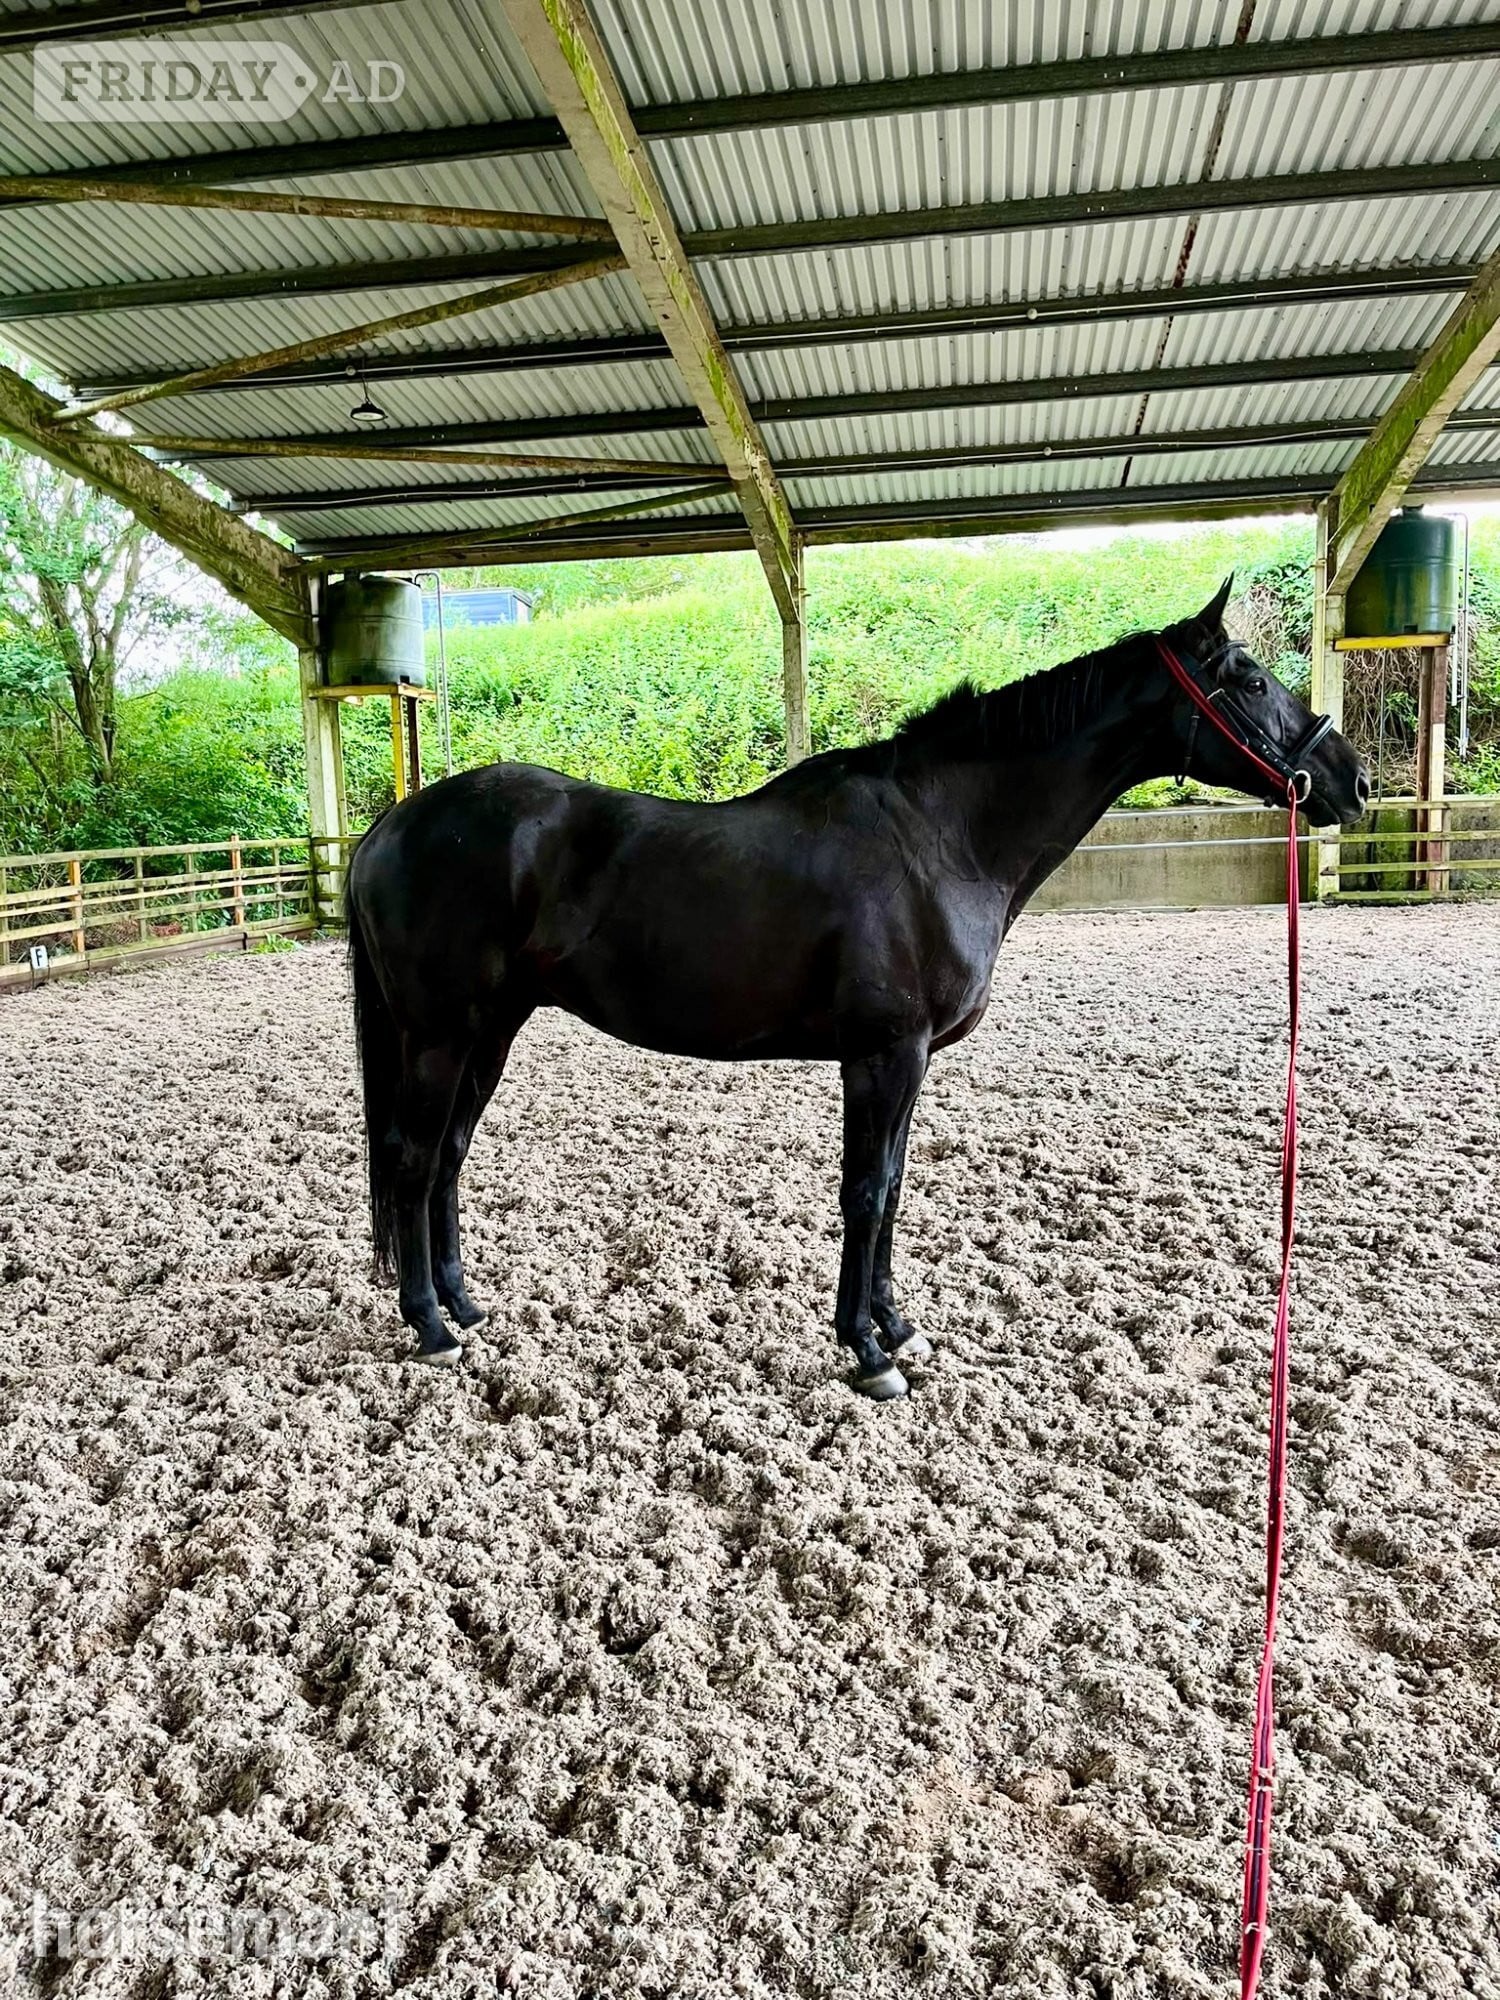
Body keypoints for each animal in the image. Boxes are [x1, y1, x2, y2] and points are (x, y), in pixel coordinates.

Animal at [345, 579, 1368, 1398]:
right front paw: (868, 1352)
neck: (942, 838)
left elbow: (896, 1186)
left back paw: (465, 1306)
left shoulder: (907, 1064)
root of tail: (390, 825)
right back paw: (429, 1326)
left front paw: (895, 1324)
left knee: (447, 1160)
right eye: (1246, 677)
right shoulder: (884, 1054)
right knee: (413, 1158)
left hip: (491, 1030)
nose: (1351, 781)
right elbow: (868, 1191)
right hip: (441, 1034)